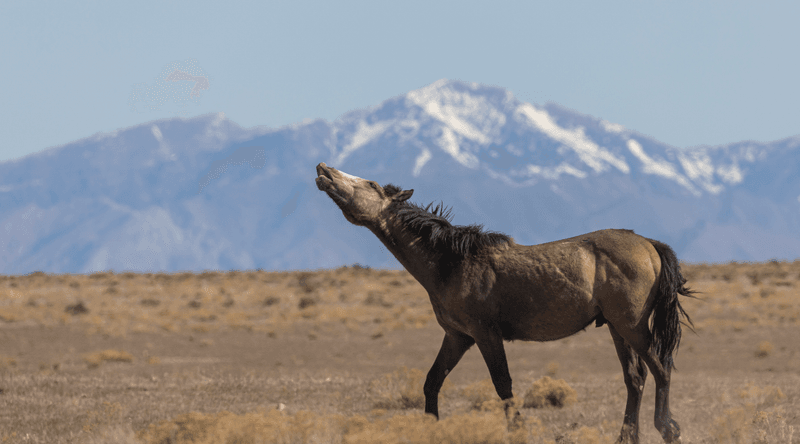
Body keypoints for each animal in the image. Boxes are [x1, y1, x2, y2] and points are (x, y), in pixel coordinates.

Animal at [316, 163, 692, 444]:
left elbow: (503, 385)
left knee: (660, 370)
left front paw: (518, 431)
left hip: (632, 327)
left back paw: (668, 429)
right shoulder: (457, 337)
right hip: (617, 328)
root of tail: (649, 243)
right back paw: (627, 437)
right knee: (635, 379)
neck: (453, 263)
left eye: (371, 183)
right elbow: (433, 381)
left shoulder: (485, 334)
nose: (323, 169)